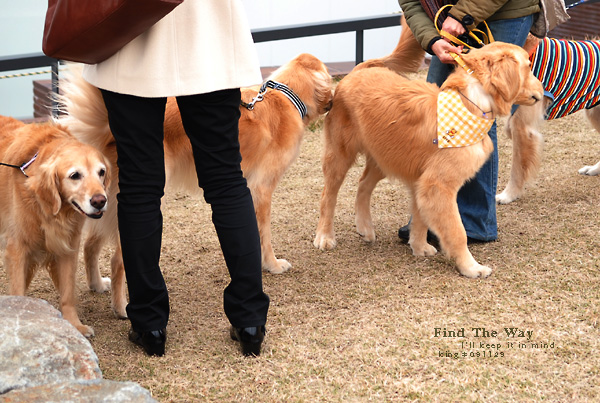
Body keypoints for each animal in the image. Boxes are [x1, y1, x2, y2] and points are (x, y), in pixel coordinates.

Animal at [0, 116, 110, 338]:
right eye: (75, 175)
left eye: (101, 172)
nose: (99, 201)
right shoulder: (17, 249)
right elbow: (18, 290)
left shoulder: (68, 247)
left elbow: (67, 293)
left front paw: (75, 325)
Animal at [56, 53, 332, 318]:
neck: (285, 97)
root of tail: (109, 134)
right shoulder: (262, 189)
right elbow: (264, 235)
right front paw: (272, 265)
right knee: (117, 261)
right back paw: (122, 308)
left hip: (101, 204)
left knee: (90, 245)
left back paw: (96, 285)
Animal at [314, 42, 544, 280]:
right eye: (529, 67)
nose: (543, 89)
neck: (471, 105)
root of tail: (359, 69)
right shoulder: (437, 185)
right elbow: (457, 231)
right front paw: (471, 267)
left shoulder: (422, 179)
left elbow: (420, 217)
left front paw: (419, 245)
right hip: (340, 155)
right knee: (328, 195)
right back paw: (325, 236)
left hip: (385, 155)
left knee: (363, 185)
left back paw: (365, 227)